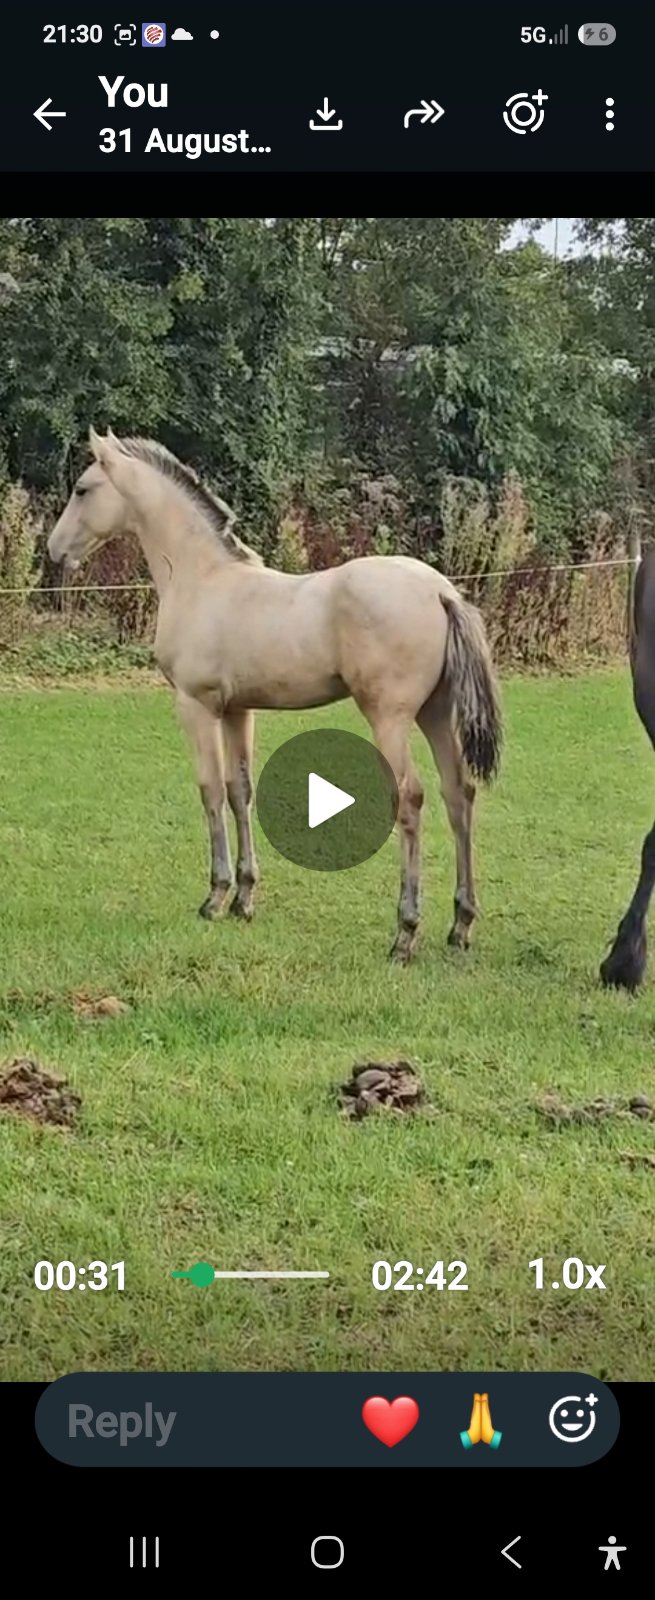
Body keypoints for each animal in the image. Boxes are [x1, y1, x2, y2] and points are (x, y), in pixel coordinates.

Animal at [47, 429, 502, 963]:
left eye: (82, 489)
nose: (54, 551)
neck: (202, 579)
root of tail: (440, 591)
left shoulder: (196, 706)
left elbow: (208, 790)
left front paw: (215, 896)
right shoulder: (237, 711)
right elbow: (238, 791)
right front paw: (244, 898)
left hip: (389, 717)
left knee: (411, 799)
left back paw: (405, 934)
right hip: (435, 713)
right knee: (459, 794)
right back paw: (461, 926)